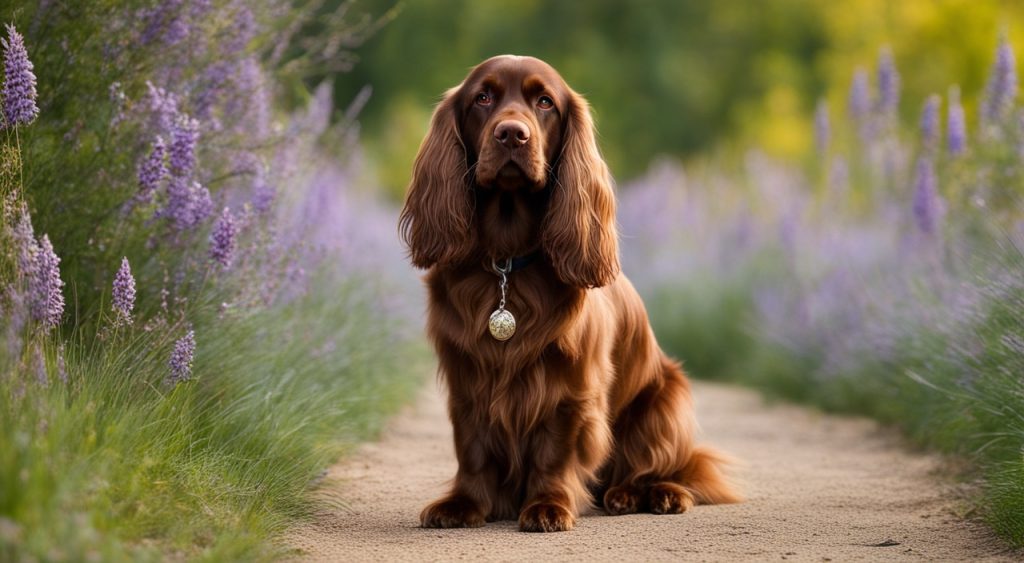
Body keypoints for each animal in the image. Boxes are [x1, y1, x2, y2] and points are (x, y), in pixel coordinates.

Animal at [397, 53, 737, 532]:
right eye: (482, 97)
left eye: (545, 102)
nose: (512, 134)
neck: (507, 262)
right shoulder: (466, 376)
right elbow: (473, 447)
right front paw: (464, 503)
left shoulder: (570, 387)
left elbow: (554, 451)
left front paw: (547, 505)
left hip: (666, 401)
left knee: (670, 467)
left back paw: (648, 493)